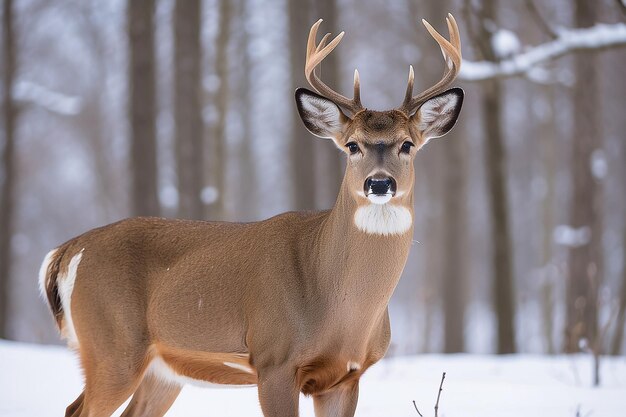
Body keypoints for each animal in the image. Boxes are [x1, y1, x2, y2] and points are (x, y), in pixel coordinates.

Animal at [37, 14, 458, 416]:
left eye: (407, 144)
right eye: (352, 145)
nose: (380, 183)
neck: (338, 306)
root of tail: (68, 249)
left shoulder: (345, 376)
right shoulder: (274, 359)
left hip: (162, 369)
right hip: (112, 345)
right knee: (76, 408)